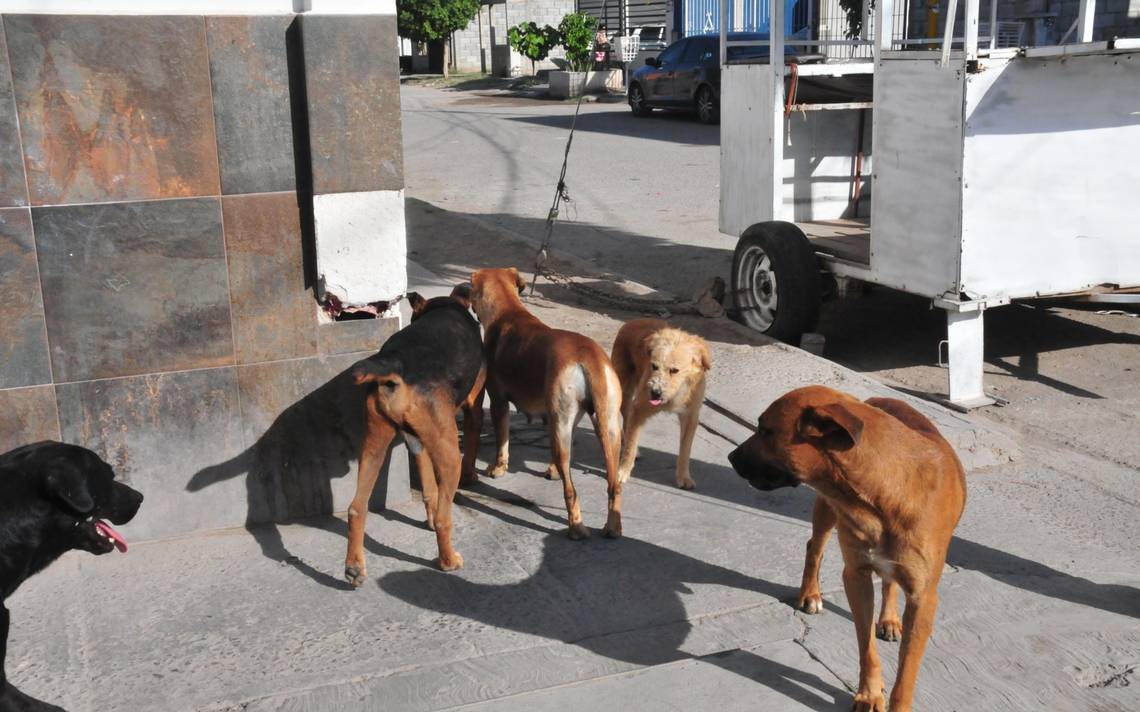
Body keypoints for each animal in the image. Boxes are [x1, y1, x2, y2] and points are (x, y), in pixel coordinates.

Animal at [337, 284, 481, 583]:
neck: (445, 306)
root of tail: (397, 363)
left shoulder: (416, 442)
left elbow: (429, 490)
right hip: (451, 456)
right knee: (445, 519)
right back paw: (448, 561)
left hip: (374, 446)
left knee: (356, 508)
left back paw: (354, 567)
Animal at [467, 266, 624, 537]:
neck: (508, 311)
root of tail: (589, 356)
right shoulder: (563, 421)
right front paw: (551, 470)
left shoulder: (499, 401)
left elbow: (502, 439)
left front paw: (497, 468)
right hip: (607, 428)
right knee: (613, 484)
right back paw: (612, 526)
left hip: (564, 426)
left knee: (571, 491)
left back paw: (576, 527)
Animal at [611, 318, 706, 487]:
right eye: (654, 366)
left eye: (674, 370)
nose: (655, 392)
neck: (675, 394)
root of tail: (632, 321)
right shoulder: (639, 408)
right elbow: (630, 445)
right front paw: (622, 471)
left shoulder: (691, 416)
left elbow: (685, 450)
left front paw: (683, 476)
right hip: (623, 389)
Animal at [729, 382, 962, 710]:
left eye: (766, 430)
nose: (731, 457)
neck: (881, 494)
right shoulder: (856, 576)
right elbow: (866, 648)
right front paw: (869, 693)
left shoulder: (923, 598)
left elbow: (906, 671)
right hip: (827, 510)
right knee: (814, 547)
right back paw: (810, 594)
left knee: (889, 581)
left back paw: (889, 619)